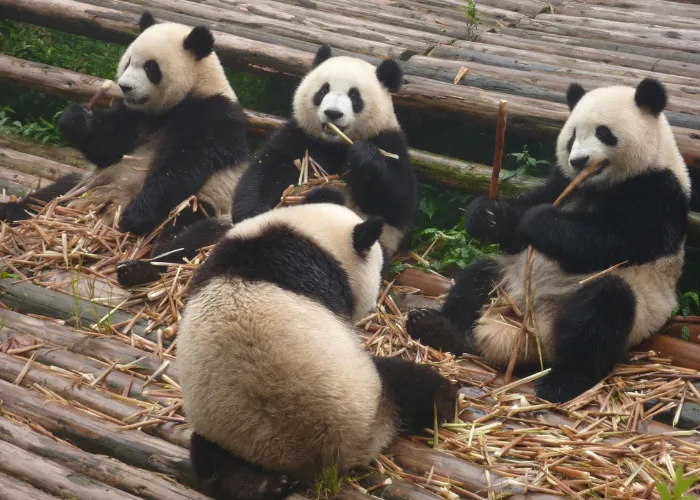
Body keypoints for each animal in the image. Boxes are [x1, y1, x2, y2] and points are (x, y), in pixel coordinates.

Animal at [0, 12, 249, 243]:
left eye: (151, 67)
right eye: (128, 61)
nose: (125, 87)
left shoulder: (211, 117)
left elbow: (182, 165)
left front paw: (136, 216)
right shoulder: (134, 116)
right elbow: (110, 147)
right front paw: (77, 120)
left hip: (213, 200)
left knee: (189, 219)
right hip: (85, 183)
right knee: (52, 193)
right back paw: (11, 211)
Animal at [178, 188, 456, 500]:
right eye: (380, 263)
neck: (311, 234)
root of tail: (319, 454)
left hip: (227, 432)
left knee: (209, 457)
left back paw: (260, 484)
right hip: (372, 392)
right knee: (408, 382)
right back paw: (446, 398)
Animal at [404, 78, 688, 404]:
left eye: (604, 133)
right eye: (572, 135)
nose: (578, 160)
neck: (598, 185)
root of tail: (522, 331)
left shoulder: (657, 192)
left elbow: (613, 242)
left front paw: (538, 221)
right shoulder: (562, 181)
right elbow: (523, 220)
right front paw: (487, 214)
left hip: (632, 308)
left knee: (602, 310)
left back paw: (563, 382)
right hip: (507, 280)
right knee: (477, 277)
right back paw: (438, 327)